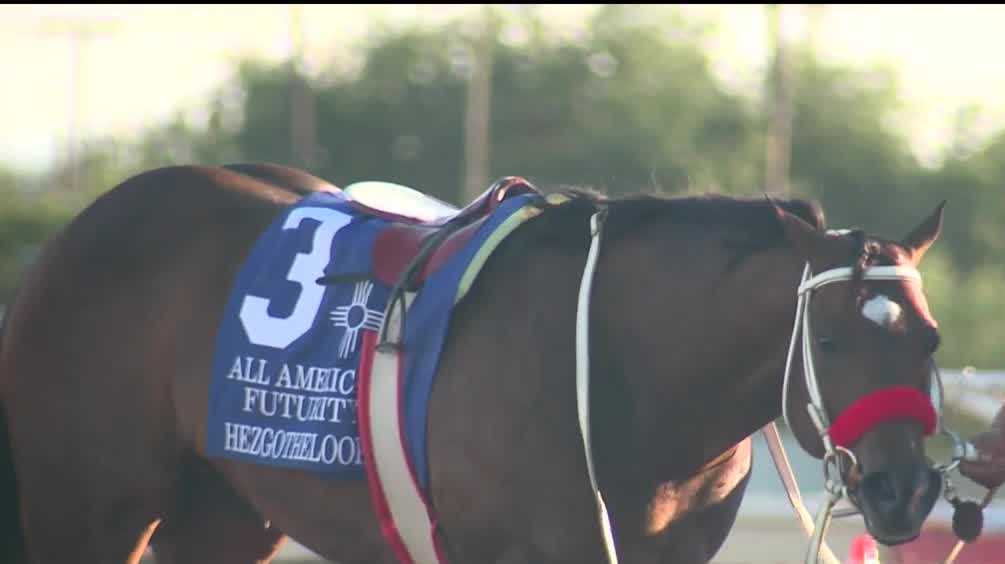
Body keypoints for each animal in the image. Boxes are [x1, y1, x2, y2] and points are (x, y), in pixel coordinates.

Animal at [0, 160, 948, 558]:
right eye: (828, 340)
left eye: (929, 340)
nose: (903, 492)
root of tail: (74, 232)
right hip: (89, 506)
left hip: (223, 510)